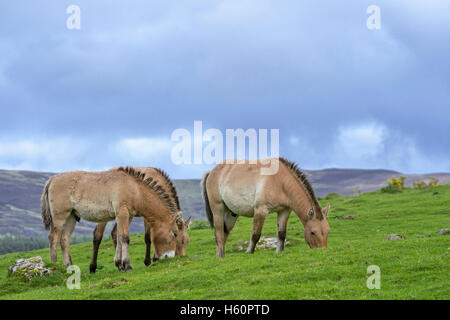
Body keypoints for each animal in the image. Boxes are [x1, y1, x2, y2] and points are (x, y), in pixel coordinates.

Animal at [40, 168, 185, 270]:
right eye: (174, 233)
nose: (169, 257)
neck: (135, 188)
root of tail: (52, 180)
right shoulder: (122, 213)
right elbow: (125, 238)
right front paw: (127, 265)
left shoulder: (128, 215)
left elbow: (119, 237)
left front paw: (120, 264)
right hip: (60, 217)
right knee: (53, 238)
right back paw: (54, 265)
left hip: (71, 216)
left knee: (64, 239)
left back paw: (69, 267)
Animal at [200, 158, 330, 258]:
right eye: (312, 232)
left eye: (328, 231)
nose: (322, 251)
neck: (280, 181)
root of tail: (211, 172)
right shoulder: (261, 210)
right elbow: (255, 234)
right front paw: (249, 252)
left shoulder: (284, 211)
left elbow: (281, 233)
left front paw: (279, 251)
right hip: (218, 210)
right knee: (218, 233)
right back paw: (220, 256)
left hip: (231, 214)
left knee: (224, 233)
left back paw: (221, 255)